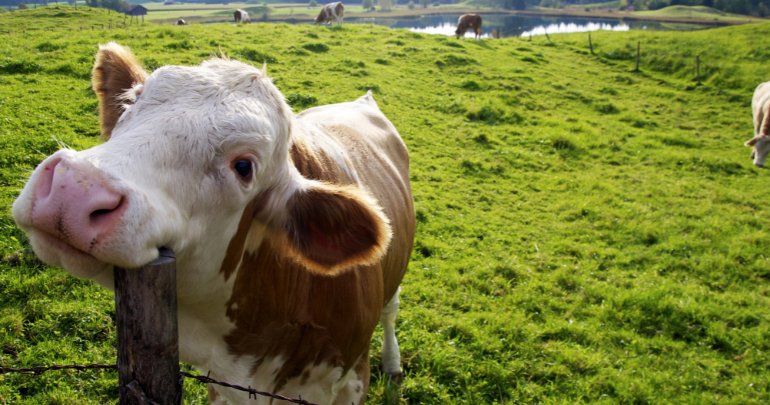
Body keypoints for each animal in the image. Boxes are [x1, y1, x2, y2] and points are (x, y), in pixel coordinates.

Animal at [12, 42, 415, 404]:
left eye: (244, 166)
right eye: (132, 103)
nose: (74, 188)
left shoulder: (351, 379)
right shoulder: (223, 386)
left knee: (391, 311)